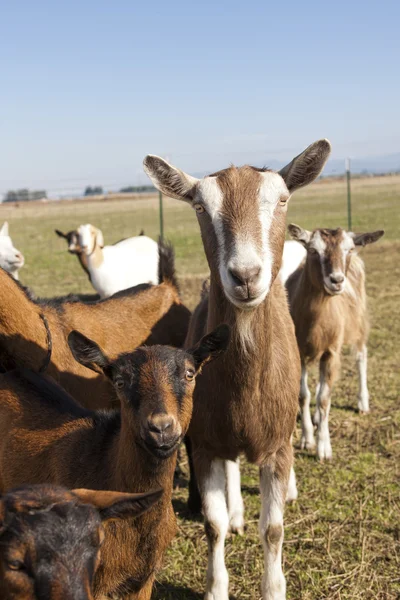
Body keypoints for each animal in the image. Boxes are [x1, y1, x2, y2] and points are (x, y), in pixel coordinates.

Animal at [144, 141, 332, 600]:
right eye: (198, 206)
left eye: (282, 199)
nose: (245, 276)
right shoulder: (206, 443)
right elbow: (212, 526)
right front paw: (216, 586)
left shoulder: (276, 448)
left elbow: (275, 529)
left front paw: (274, 587)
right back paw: (236, 513)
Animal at [284, 224, 384, 460]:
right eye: (313, 250)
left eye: (348, 249)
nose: (337, 280)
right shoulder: (299, 351)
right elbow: (303, 395)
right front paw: (307, 439)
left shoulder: (331, 351)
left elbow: (324, 398)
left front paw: (323, 448)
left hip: (359, 320)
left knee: (361, 356)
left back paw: (362, 402)